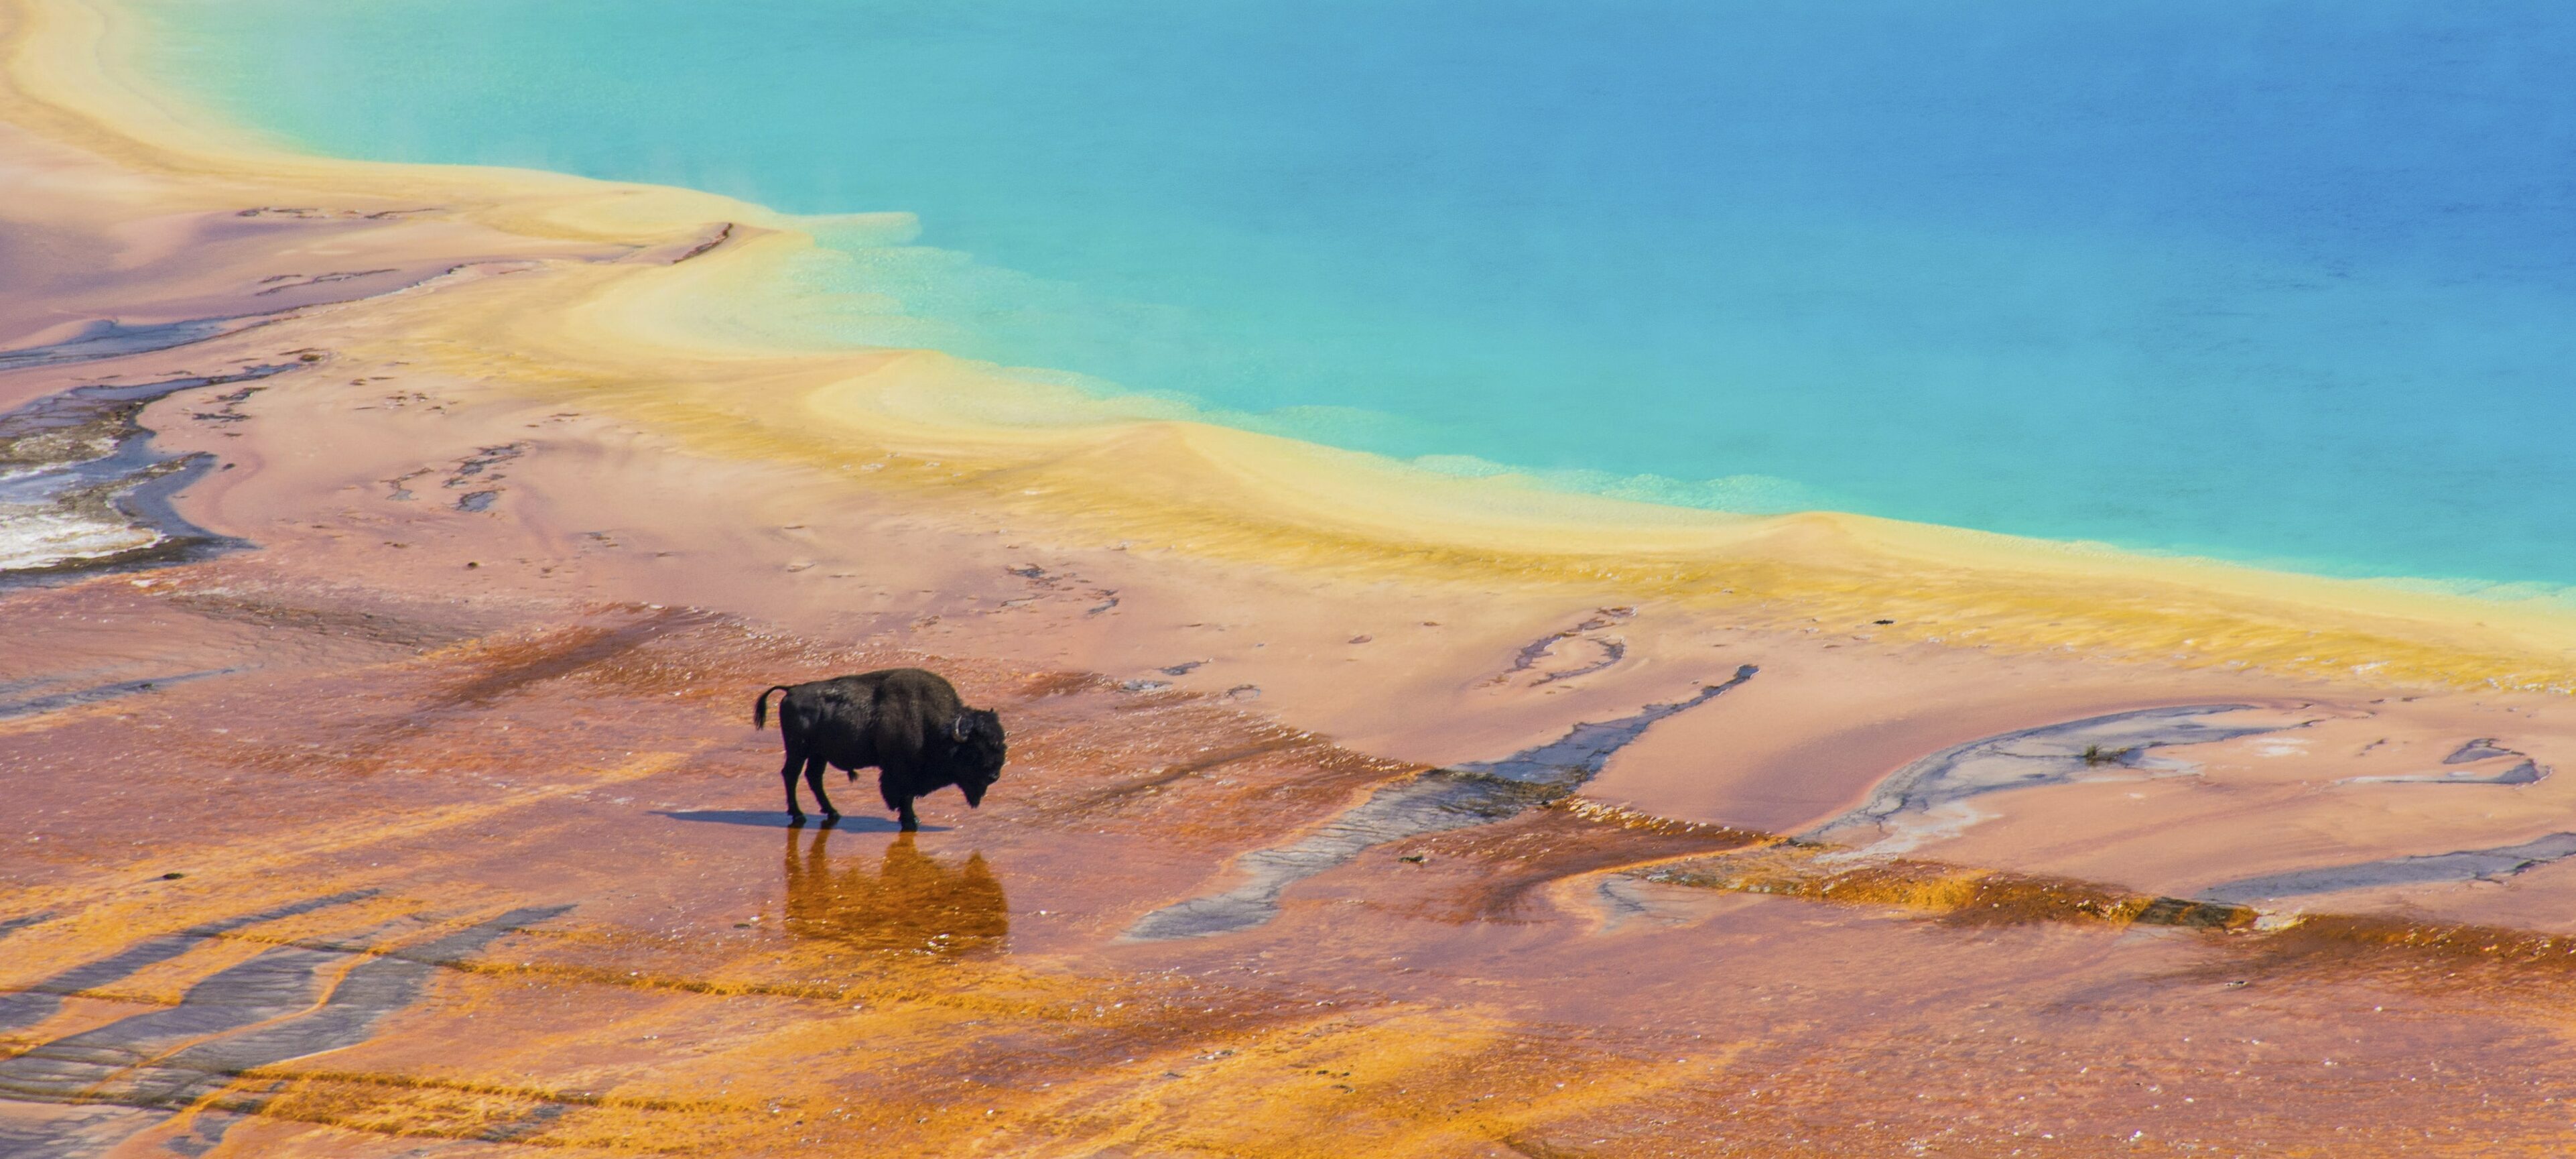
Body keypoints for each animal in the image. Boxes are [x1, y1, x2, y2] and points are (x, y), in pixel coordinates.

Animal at [752, 664, 999, 829]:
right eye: (974, 750)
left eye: (1000, 745)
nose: (994, 775)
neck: (933, 724)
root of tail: (791, 690)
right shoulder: (900, 771)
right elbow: (905, 796)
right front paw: (911, 820)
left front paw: (911, 818)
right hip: (798, 750)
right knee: (791, 774)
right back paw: (799, 815)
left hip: (818, 754)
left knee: (813, 777)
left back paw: (833, 812)